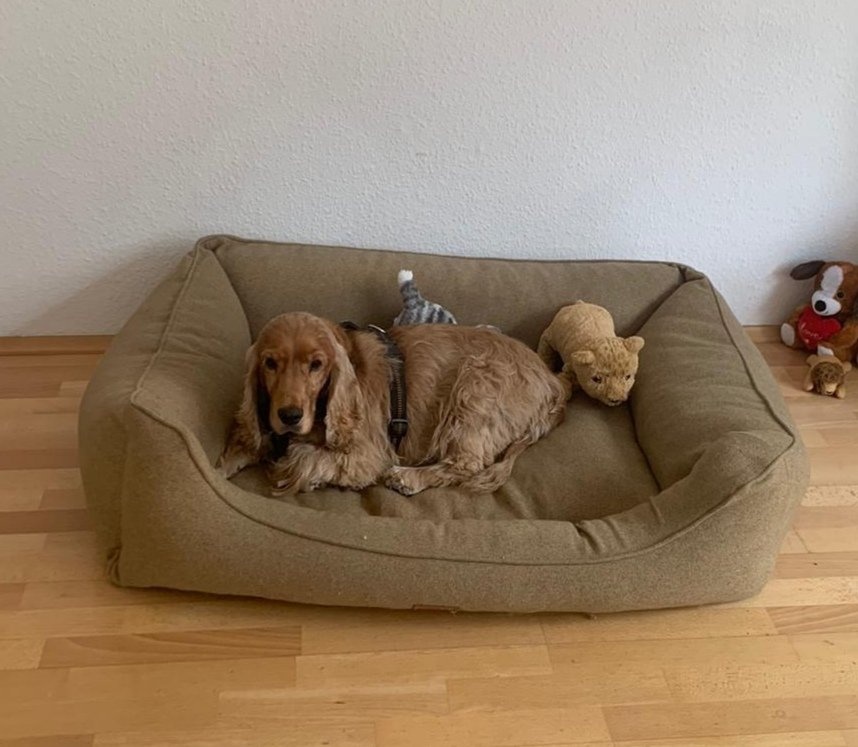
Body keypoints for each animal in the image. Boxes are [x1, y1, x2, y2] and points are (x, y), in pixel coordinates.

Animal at [217, 312, 567, 496]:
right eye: (270, 363)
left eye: (316, 365)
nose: (289, 415)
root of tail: (553, 384)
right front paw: (218, 471)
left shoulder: (367, 456)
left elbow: (303, 457)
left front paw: (293, 467)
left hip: (475, 387)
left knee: (467, 463)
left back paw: (407, 477)